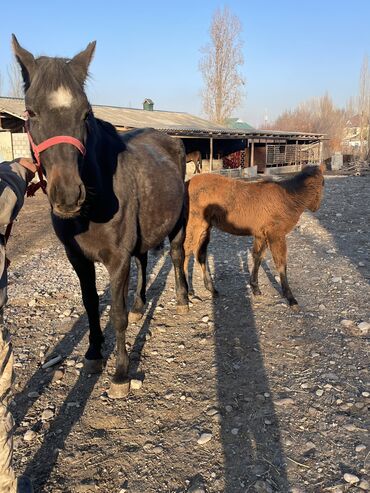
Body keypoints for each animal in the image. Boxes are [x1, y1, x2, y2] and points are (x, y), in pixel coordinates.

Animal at [13, 33, 189, 396]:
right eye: (32, 112)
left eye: (85, 114)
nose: (68, 195)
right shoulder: (78, 258)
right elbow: (91, 304)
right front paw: (94, 354)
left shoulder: (116, 259)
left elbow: (116, 314)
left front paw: (121, 373)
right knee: (144, 260)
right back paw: (140, 307)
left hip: (178, 224)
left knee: (177, 255)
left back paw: (182, 300)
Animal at [185, 165, 324, 308]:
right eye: (323, 183)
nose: (316, 207)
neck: (288, 199)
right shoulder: (276, 234)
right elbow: (281, 263)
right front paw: (290, 298)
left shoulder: (261, 235)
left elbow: (258, 257)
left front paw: (255, 288)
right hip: (194, 226)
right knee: (185, 254)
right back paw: (187, 296)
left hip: (204, 228)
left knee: (199, 255)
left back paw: (209, 289)